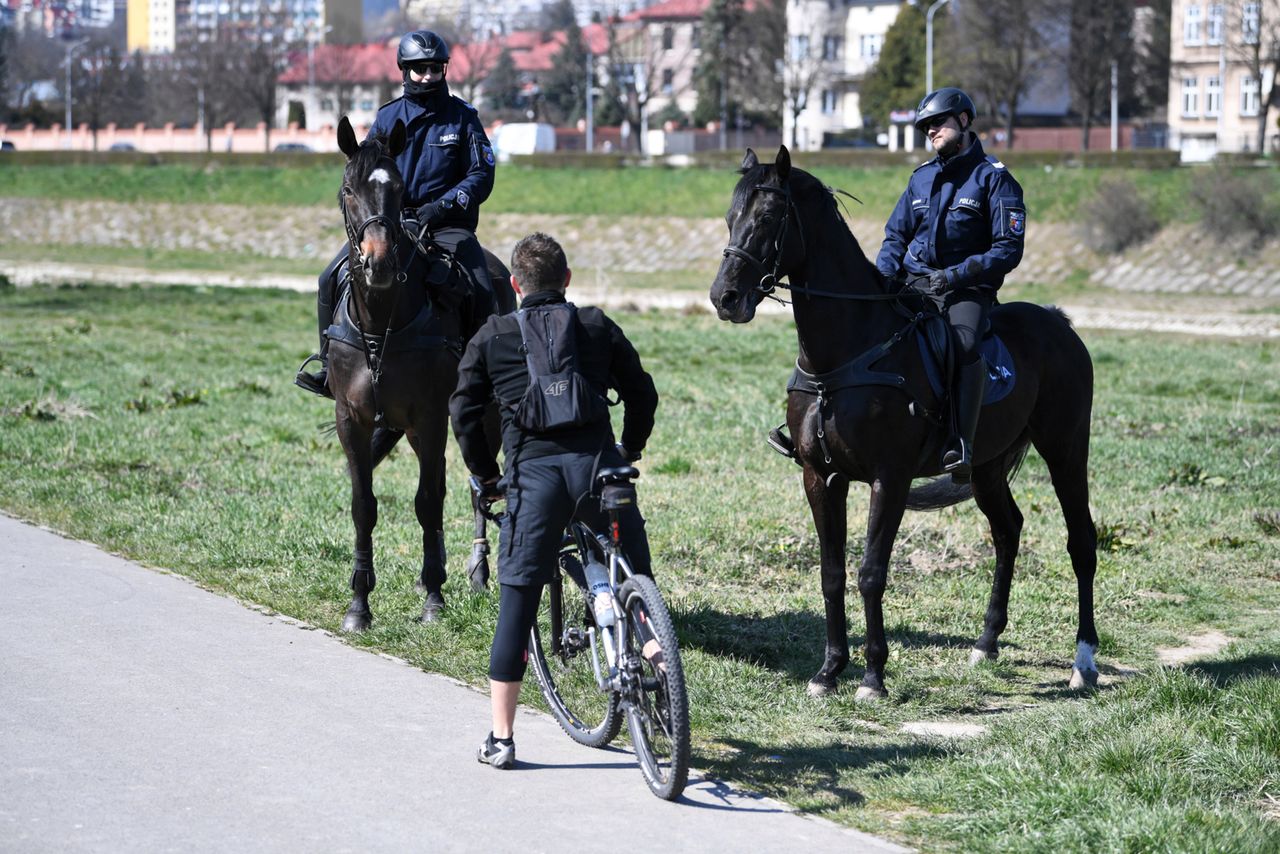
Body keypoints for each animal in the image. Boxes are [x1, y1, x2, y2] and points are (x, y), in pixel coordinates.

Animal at [327, 117, 512, 632]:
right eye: (348, 190)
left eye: (397, 189)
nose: (380, 262)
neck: (382, 321)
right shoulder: (352, 419)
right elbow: (363, 506)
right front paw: (359, 603)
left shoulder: (431, 418)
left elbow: (428, 501)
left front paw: (434, 598)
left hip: (481, 421)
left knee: (478, 486)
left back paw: (476, 569)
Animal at [711, 148, 1100, 701]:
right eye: (730, 218)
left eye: (766, 218)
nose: (724, 297)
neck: (848, 352)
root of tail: (1060, 323)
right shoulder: (820, 477)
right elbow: (832, 573)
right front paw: (829, 671)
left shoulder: (888, 479)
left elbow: (871, 572)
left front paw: (873, 675)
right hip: (985, 469)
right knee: (1008, 532)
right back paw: (986, 644)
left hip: (1066, 448)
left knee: (1081, 542)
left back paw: (1083, 661)